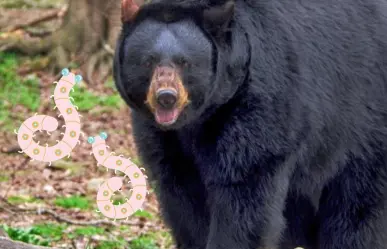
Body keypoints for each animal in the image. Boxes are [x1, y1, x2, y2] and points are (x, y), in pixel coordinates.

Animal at [113, 0, 387, 249]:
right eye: (148, 61)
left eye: (185, 62)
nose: (166, 97)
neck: (198, 119)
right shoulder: (164, 140)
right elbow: (184, 199)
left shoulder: (258, 109)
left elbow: (244, 195)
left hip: (363, 130)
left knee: (356, 210)